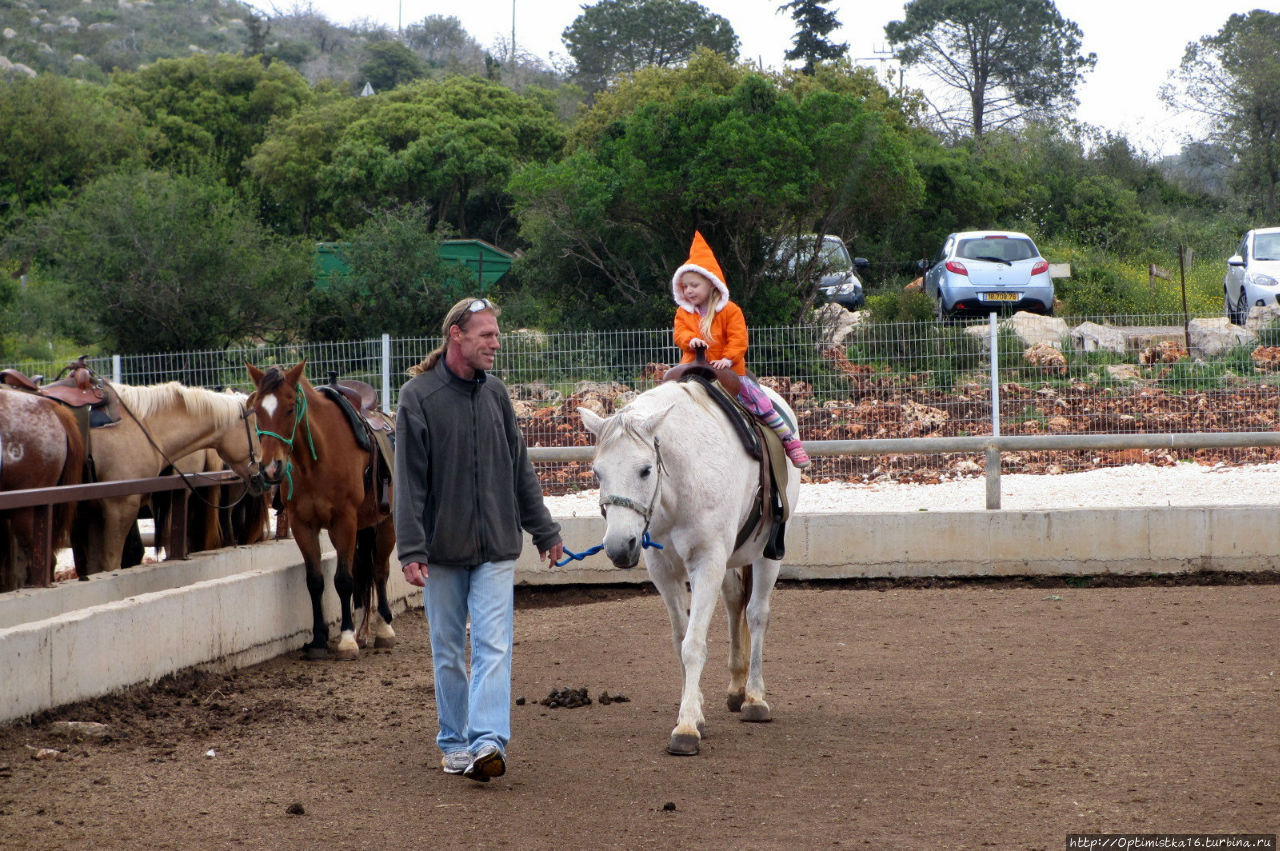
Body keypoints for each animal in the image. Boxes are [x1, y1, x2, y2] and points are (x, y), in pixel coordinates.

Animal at [243, 360, 394, 660]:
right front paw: (319, 640)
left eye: (290, 408)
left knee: (380, 570)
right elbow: (315, 581)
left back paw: (383, 628)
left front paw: (346, 640)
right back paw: (362, 630)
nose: (270, 469)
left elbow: (344, 580)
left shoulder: (344, 522)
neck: (314, 462)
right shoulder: (302, 525)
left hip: (387, 523)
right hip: (365, 526)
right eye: (257, 412)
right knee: (364, 569)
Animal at [581, 381, 798, 752]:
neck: (679, 487)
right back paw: (737, 687)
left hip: (767, 555)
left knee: (757, 614)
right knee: (735, 601)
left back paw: (754, 697)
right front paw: (694, 713)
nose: (618, 546)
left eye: (645, 469)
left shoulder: (707, 562)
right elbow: (680, 640)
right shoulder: (663, 570)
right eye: (597, 472)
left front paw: (685, 728)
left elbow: (694, 645)